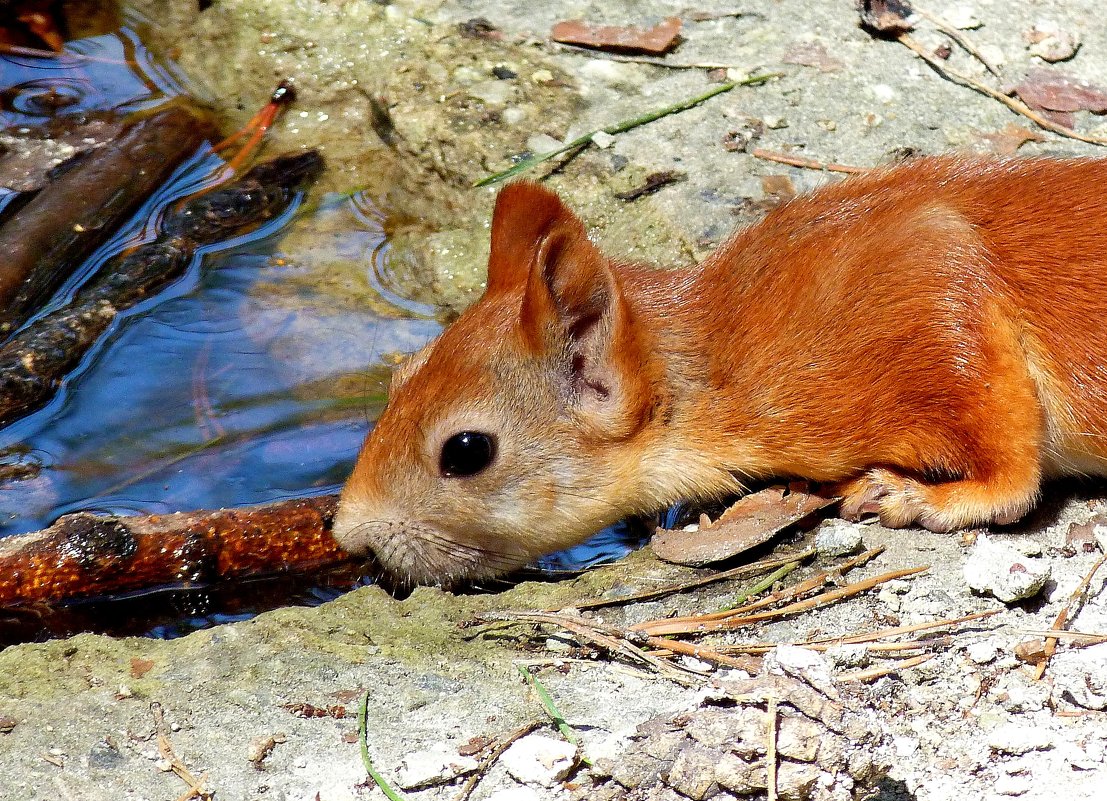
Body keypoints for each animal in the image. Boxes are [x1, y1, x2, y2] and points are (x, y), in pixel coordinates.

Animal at [332, 155, 1107, 584]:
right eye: (400, 374)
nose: (349, 537)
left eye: (466, 451)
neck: (716, 363)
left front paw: (929, 497)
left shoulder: (928, 287)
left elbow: (1011, 474)